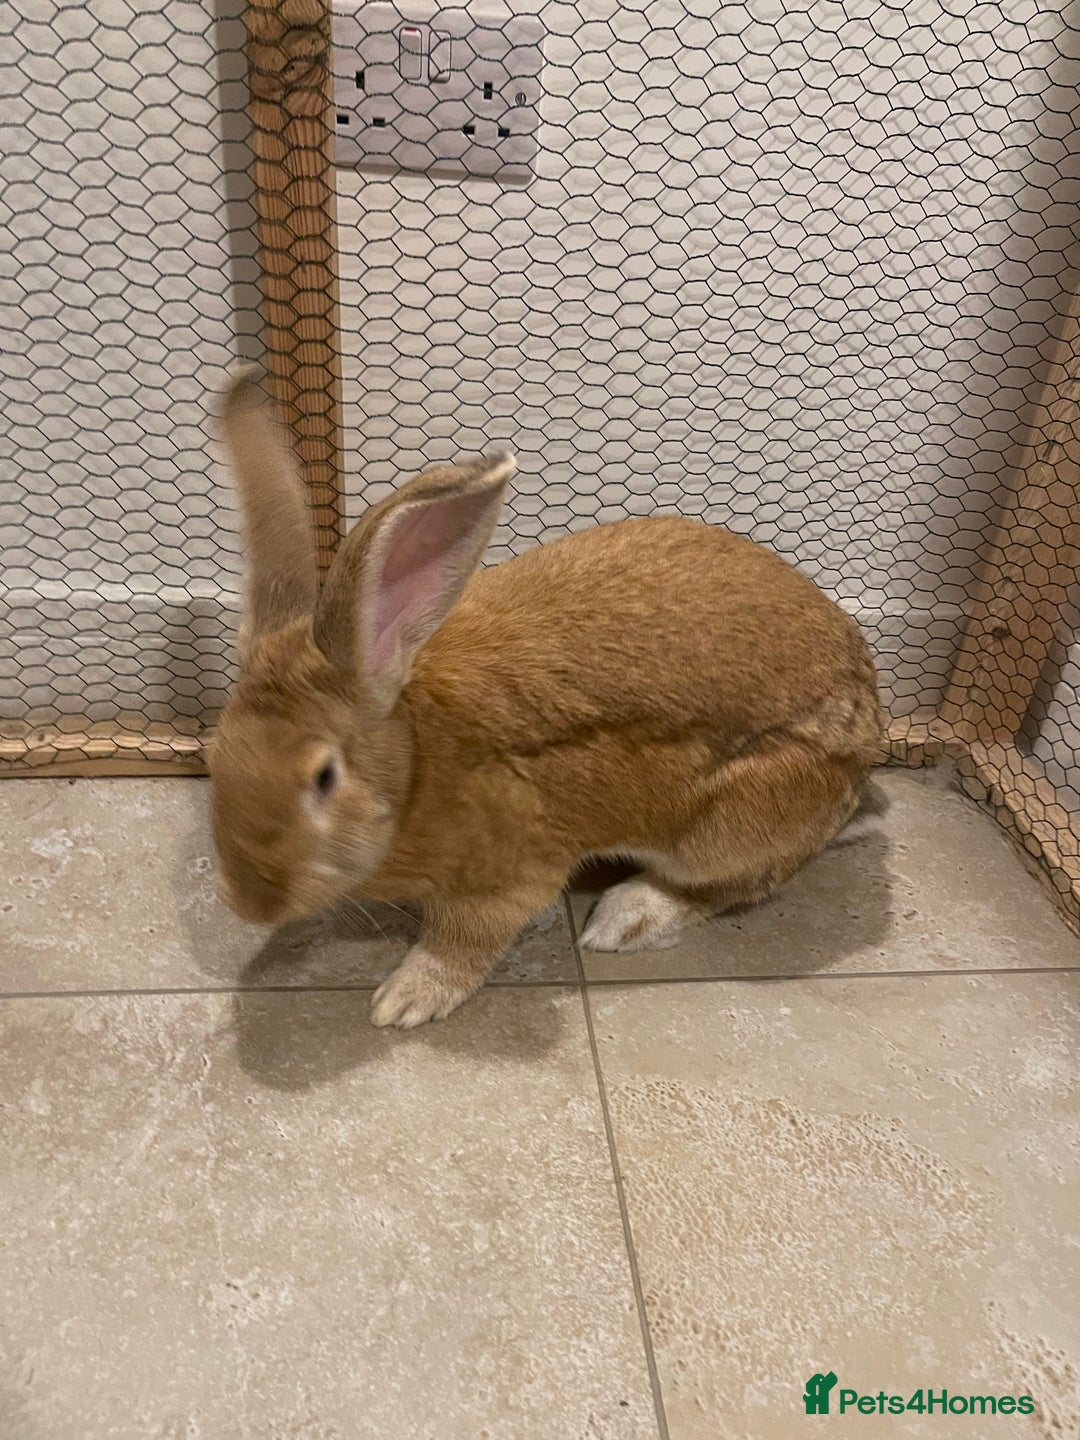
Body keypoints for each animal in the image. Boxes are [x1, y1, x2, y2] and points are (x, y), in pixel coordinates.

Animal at [210, 370, 884, 1028]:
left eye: (324, 777)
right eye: (215, 756)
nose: (250, 903)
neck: (415, 766)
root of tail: (865, 746)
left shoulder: (509, 876)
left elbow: (464, 939)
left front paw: (405, 999)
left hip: (728, 824)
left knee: (736, 883)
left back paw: (625, 917)